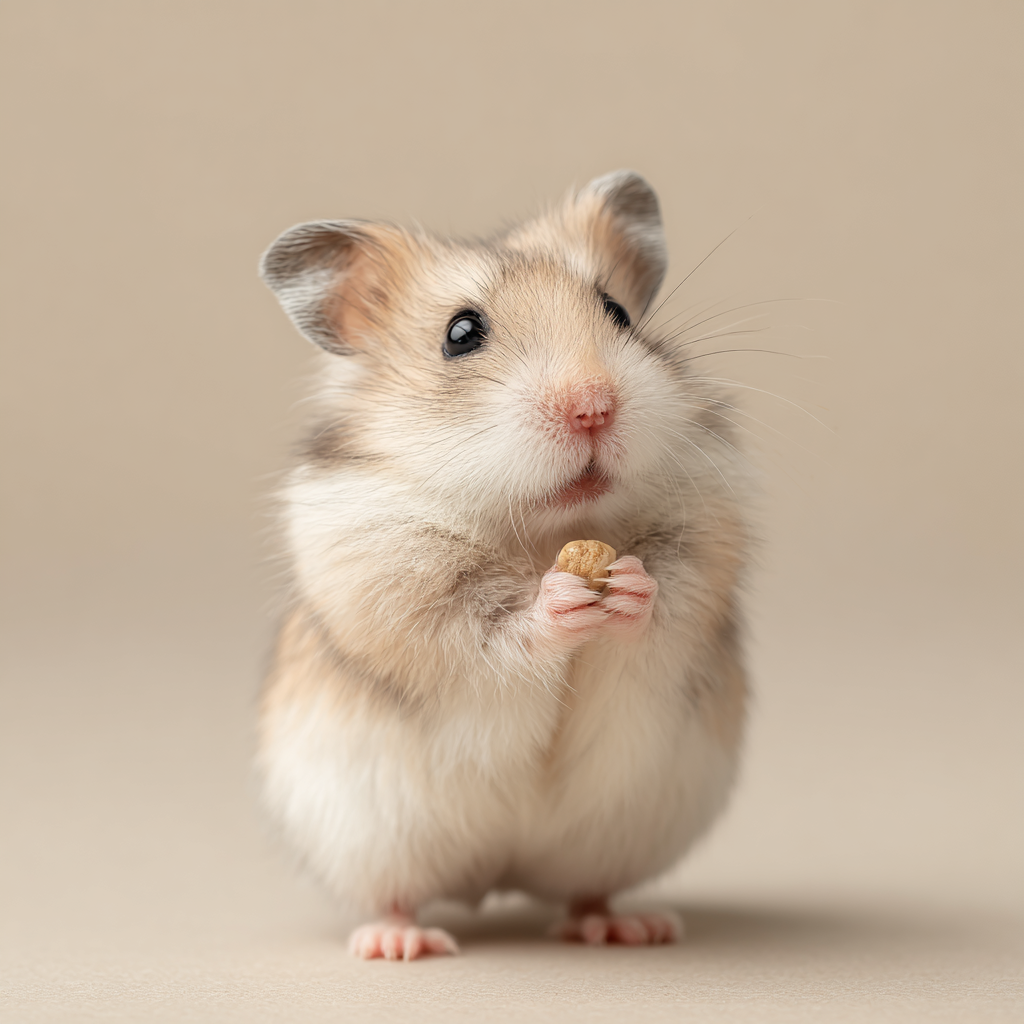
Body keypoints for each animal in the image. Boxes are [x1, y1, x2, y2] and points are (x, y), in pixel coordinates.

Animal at [257, 171, 750, 960]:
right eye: (461, 334)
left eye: (616, 311)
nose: (593, 406)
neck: (550, 531)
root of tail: (498, 880)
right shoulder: (397, 584)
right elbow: (494, 631)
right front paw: (557, 600)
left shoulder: (705, 546)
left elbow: (665, 600)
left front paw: (628, 585)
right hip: (367, 831)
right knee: (395, 892)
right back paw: (397, 944)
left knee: (588, 889)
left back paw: (627, 926)